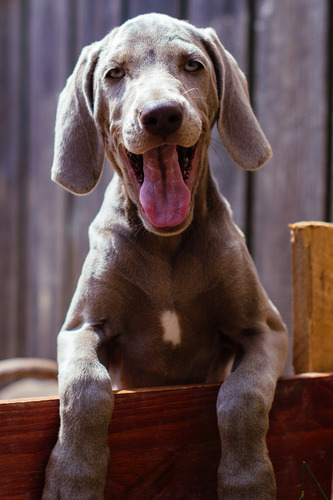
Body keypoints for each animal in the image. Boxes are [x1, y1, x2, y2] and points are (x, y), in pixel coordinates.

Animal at [42, 13, 288, 498]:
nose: (161, 115)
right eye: (114, 74)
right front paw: (73, 478)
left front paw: (247, 481)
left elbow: (241, 394)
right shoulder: (79, 327)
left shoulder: (266, 330)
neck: (167, 244)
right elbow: (86, 384)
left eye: (193, 65)